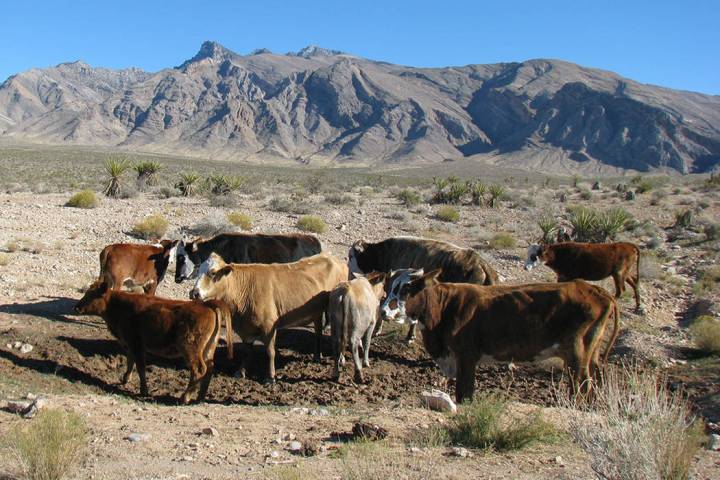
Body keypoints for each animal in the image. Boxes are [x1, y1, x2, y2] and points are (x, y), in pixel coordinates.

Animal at [74, 281, 233, 404]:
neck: (118, 306)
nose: (77, 307)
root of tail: (206, 305)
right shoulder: (130, 344)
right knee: (210, 368)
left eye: (91, 295)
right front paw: (125, 379)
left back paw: (185, 397)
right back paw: (200, 398)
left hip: (190, 348)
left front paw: (143, 390)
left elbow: (140, 366)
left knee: (199, 369)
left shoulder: (135, 343)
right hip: (208, 348)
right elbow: (130, 361)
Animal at [189, 252, 348, 383]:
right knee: (318, 331)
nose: (194, 293)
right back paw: (317, 356)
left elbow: (270, 352)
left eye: (212, 272)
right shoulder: (246, 328)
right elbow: (247, 352)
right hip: (316, 311)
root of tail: (334, 259)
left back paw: (340, 359)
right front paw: (241, 372)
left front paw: (270, 377)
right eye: (198, 271)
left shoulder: (269, 326)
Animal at [381, 269, 619, 403]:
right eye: (388, 287)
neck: (444, 306)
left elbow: (464, 394)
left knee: (583, 386)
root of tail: (597, 291)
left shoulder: (466, 357)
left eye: (406, 289)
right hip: (591, 355)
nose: (382, 311)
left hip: (576, 355)